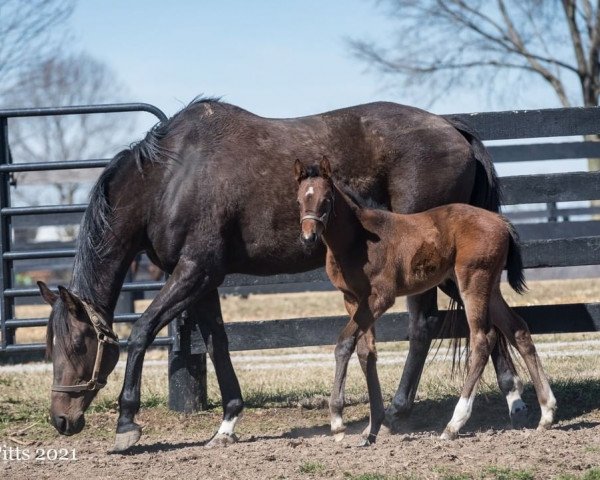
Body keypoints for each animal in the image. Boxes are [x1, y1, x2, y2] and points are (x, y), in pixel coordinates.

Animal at [296, 158, 556, 446]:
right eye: (299, 200)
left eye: (326, 199)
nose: (308, 237)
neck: (357, 240)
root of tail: (499, 220)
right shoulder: (352, 298)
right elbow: (366, 352)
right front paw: (372, 429)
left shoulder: (380, 297)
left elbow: (344, 343)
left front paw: (338, 423)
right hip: (490, 288)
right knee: (517, 329)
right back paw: (546, 414)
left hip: (472, 281)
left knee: (483, 337)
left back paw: (454, 424)